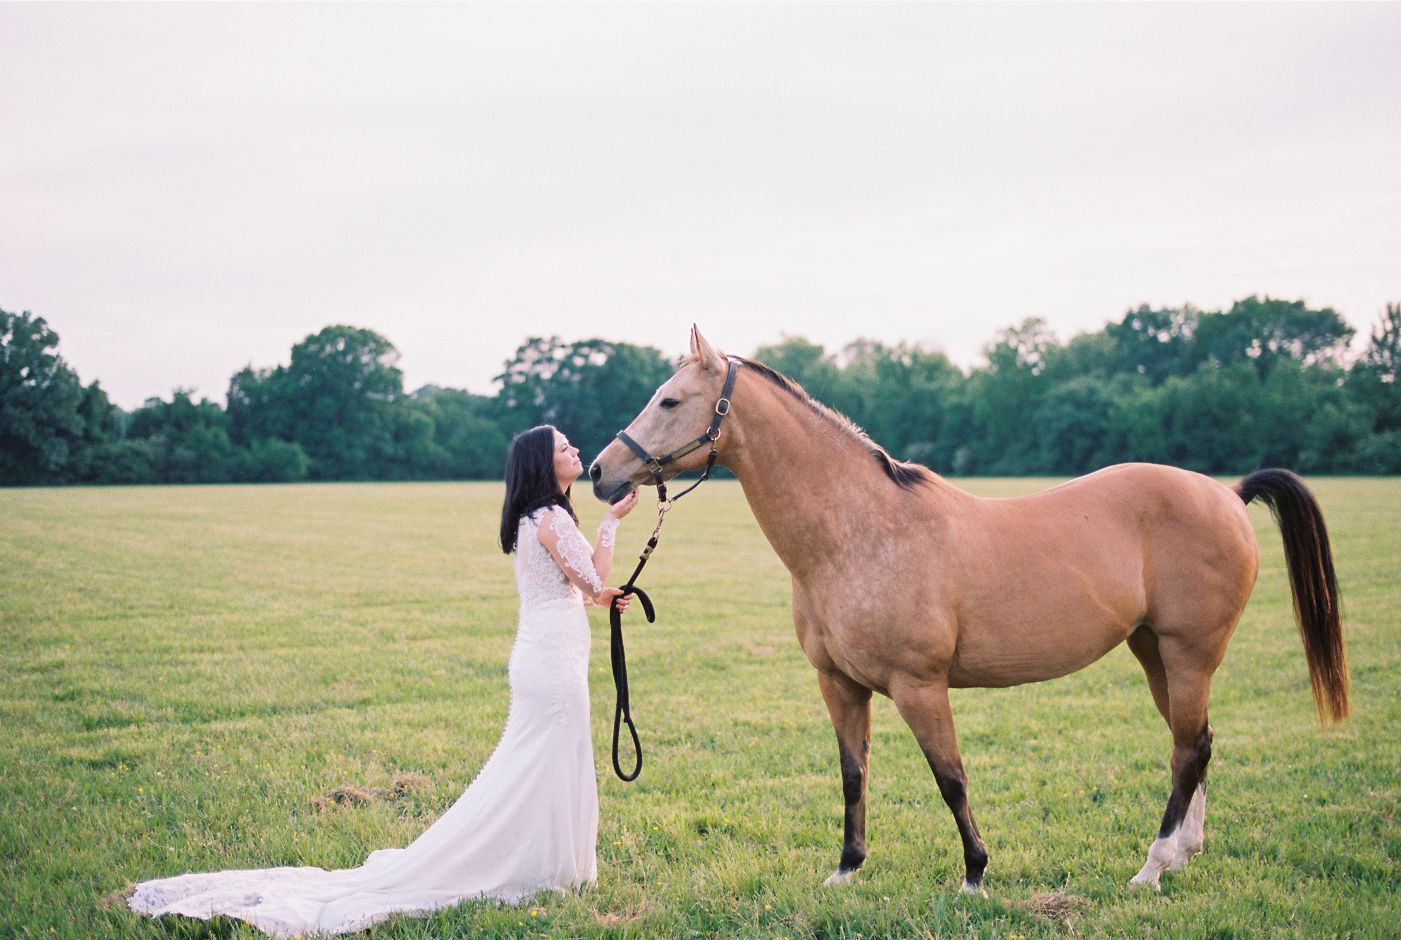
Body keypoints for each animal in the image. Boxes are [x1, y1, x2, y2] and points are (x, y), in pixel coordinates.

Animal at [588, 327, 1344, 890]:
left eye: (669, 401)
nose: (599, 472)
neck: (858, 534)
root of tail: (1226, 493)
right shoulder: (839, 685)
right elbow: (853, 775)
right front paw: (846, 870)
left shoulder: (919, 687)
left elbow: (949, 778)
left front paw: (975, 873)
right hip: (1153, 650)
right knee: (1196, 744)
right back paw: (1182, 854)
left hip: (1189, 653)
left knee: (1188, 751)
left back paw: (1151, 868)